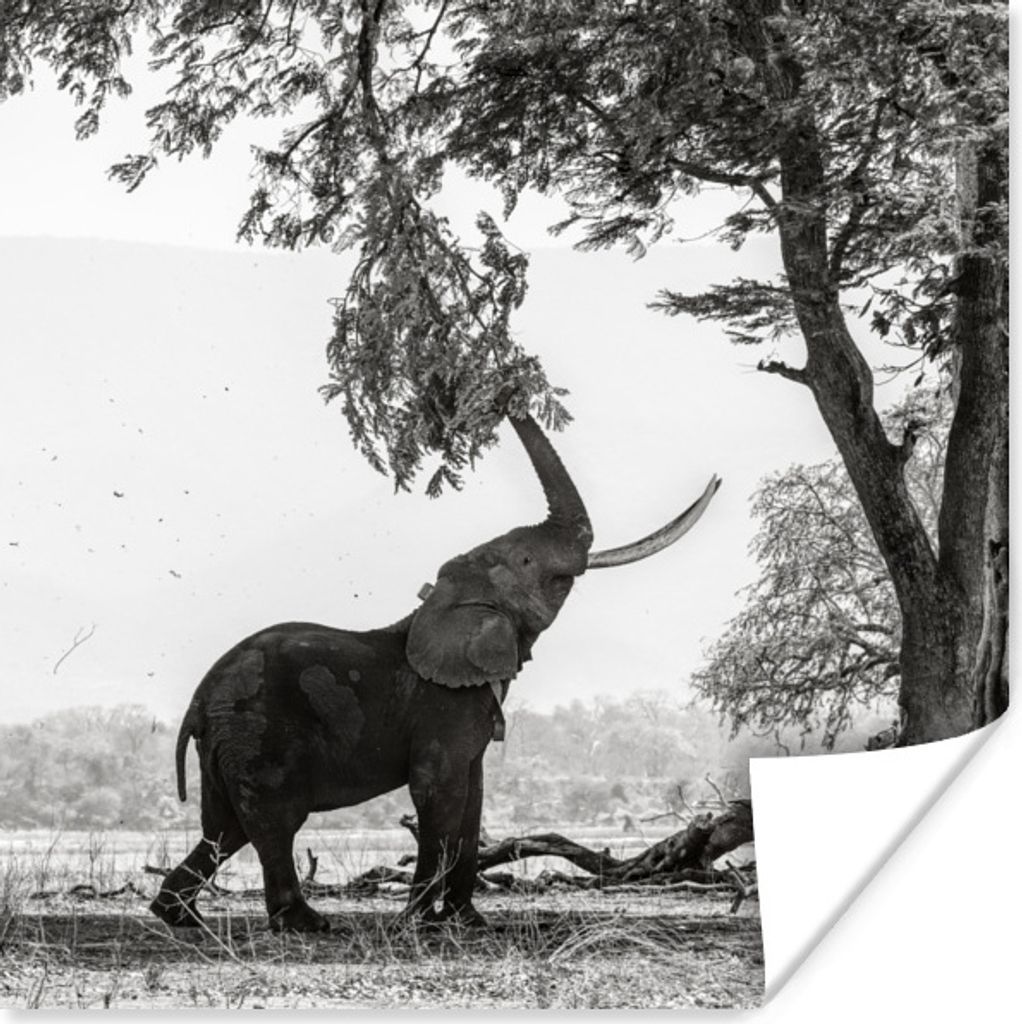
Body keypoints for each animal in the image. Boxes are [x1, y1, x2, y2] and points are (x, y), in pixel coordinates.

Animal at [150, 411, 719, 932]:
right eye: (527, 560)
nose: (502, 393)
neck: (444, 602)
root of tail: (198, 702)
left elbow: (473, 799)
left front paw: (469, 922)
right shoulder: (441, 708)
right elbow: (438, 793)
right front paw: (419, 922)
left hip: (228, 742)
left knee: (224, 827)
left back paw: (179, 915)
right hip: (256, 732)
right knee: (274, 822)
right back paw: (305, 923)